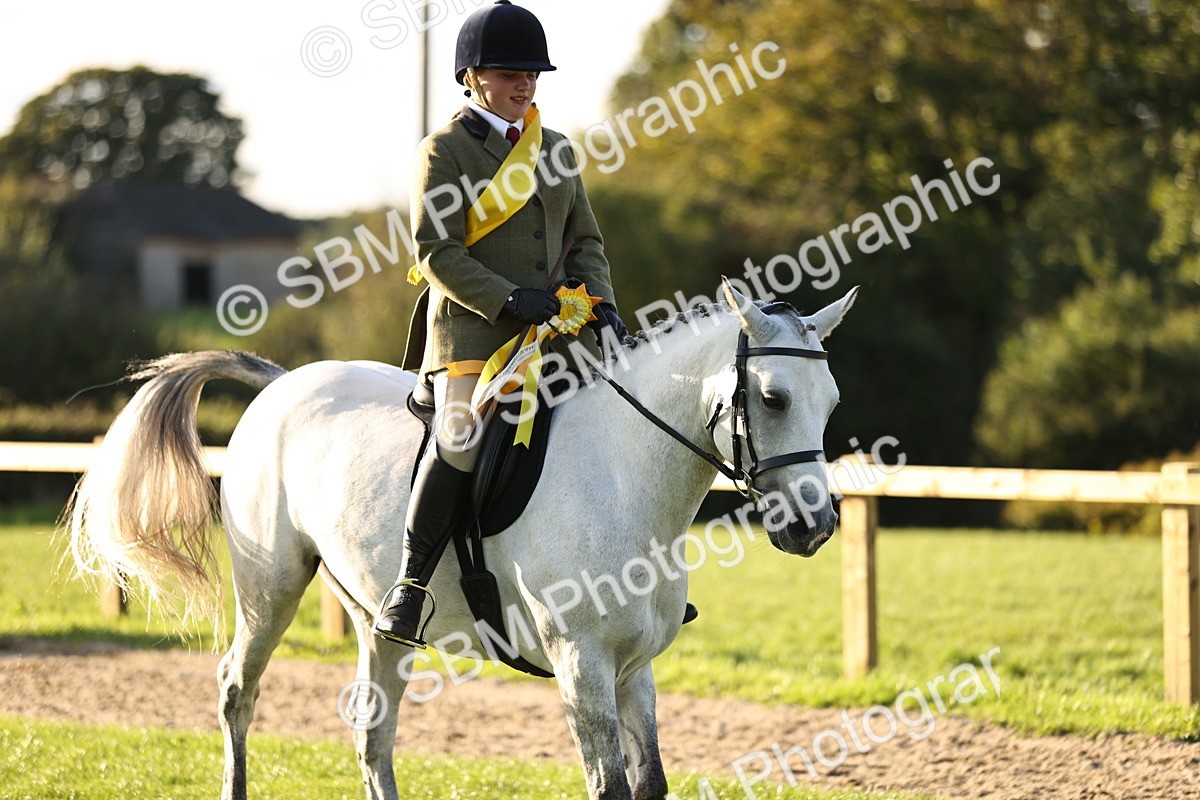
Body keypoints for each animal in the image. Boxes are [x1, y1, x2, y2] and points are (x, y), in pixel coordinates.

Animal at [67, 280, 857, 800]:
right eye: (774, 398)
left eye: (831, 403)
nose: (815, 526)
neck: (624, 473)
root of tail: (282, 385)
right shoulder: (582, 665)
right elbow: (609, 786)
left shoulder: (635, 668)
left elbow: (649, 783)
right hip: (271, 588)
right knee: (238, 691)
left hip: (376, 620)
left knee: (373, 729)